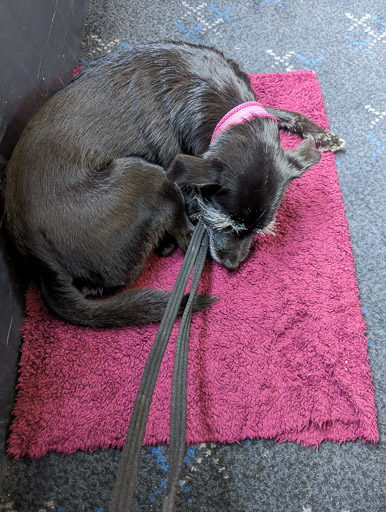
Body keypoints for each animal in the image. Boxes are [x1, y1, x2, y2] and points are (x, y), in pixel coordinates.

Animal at [3, 40, 346, 328]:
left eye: (258, 231)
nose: (232, 266)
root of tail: (37, 254)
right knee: (182, 234)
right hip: (148, 173)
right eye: (223, 225)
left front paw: (321, 134)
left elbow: (281, 111)